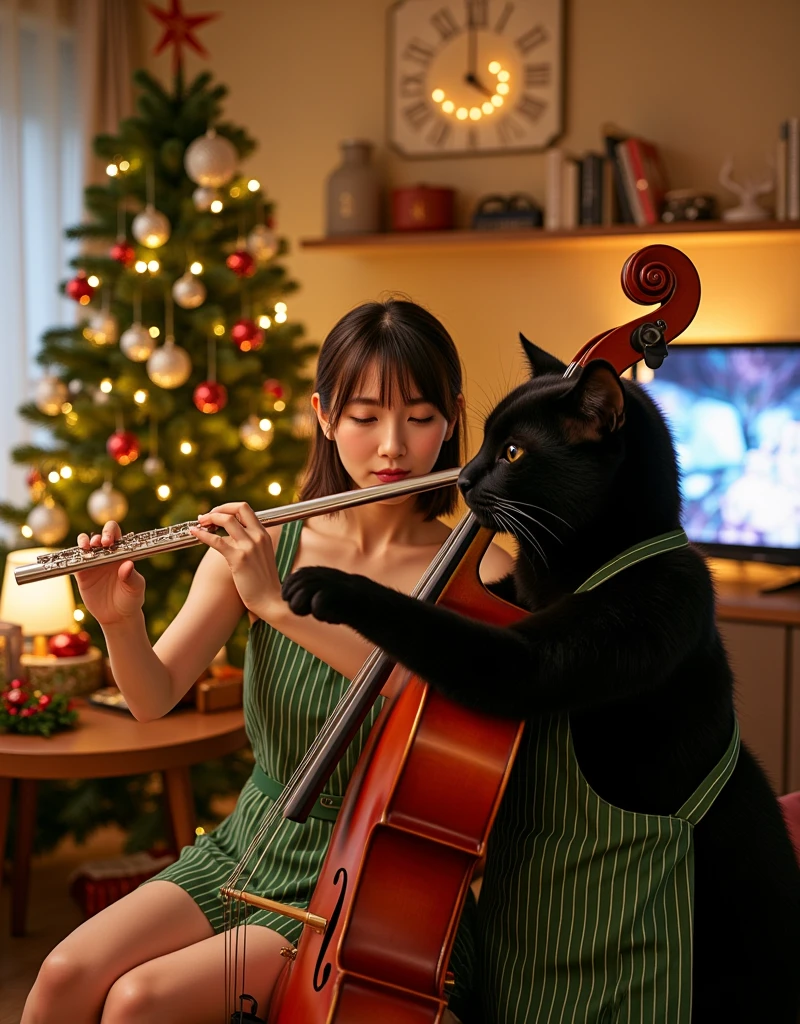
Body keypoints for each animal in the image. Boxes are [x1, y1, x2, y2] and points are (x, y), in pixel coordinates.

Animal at [282, 342, 798, 1024]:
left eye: (512, 454)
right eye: (485, 443)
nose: (462, 481)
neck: (562, 571)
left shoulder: (548, 654)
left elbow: (434, 625)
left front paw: (333, 585)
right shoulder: (513, 595)